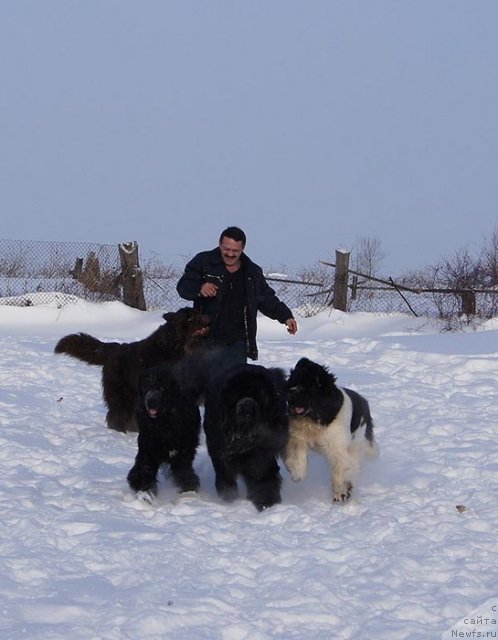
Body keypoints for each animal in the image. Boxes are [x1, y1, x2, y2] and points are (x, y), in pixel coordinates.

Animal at [53, 308, 209, 432]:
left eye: (198, 312)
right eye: (190, 319)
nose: (207, 318)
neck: (176, 347)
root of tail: (113, 350)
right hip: (122, 395)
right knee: (117, 415)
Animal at [126, 362, 200, 502]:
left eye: (162, 388)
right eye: (146, 387)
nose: (150, 401)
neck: (164, 422)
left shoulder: (183, 452)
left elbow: (184, 471)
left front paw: (188, 492)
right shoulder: (147, 449)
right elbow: (144, 469)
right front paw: (145, 493)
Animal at [202, 364, 288, 510]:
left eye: (260, 396)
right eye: (236, 396)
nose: (247, 402)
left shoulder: (262, 454)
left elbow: (263, 477)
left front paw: (265, 503)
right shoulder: (219, 451)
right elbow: (225, 476)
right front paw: (230, 499)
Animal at [284, 358, 378, 502]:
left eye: (309, 385)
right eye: (293, 382)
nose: (291, 393)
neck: (315, 417)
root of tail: (364, 403)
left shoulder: (337, 447)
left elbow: (340, 470)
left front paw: (342, 492)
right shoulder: (298, 436)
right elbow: (297, 455)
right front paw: (297, 472)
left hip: (357, 442)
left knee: (354, 463)